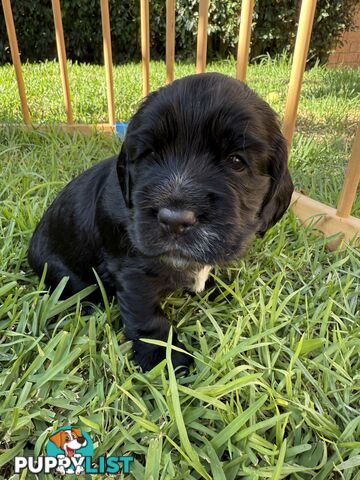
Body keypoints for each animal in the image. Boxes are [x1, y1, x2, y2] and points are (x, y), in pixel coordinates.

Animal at [28, 72, 292, 372]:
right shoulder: (132, 271)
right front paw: (165, 358)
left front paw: (217, 289)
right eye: (150, 155)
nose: (175, 220)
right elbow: (147, 317)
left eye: (236, 161)